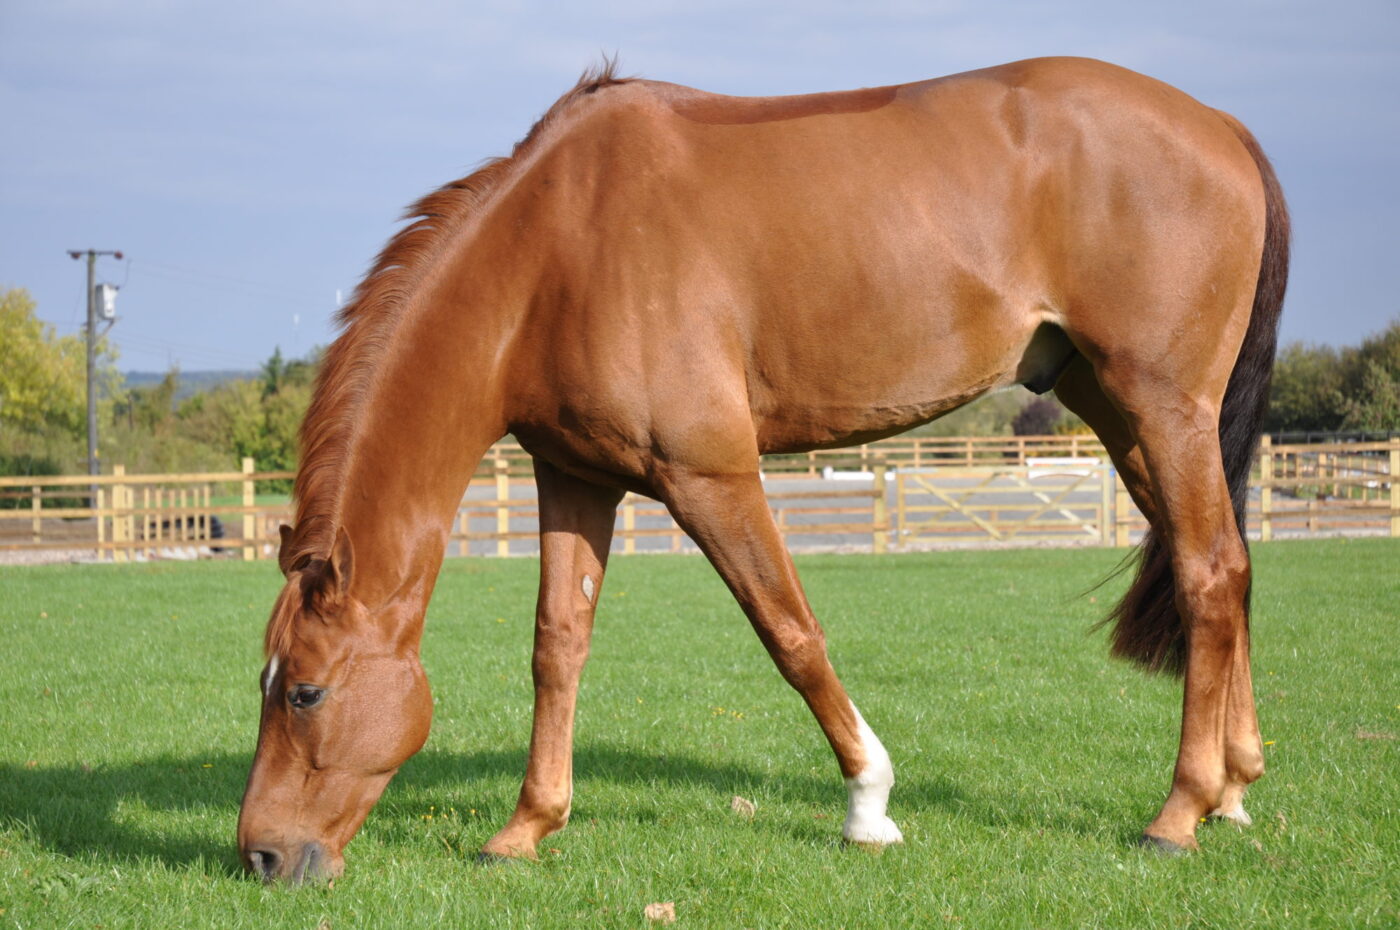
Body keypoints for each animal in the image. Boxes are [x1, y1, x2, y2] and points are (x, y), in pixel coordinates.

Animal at [232, 54, 1288, 885]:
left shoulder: (711, 477)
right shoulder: (576, 480)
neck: (555, 249)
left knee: (1208, 574)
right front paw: (526, 828)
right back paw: (1234, 786)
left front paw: (868, 805)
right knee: (1224, 567)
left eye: (305, 692)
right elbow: (557, 647)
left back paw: (1179, 812)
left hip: (1163, 409)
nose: (262, 857)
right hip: (1124, 418)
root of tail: (1223, 128)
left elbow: (790, 632)